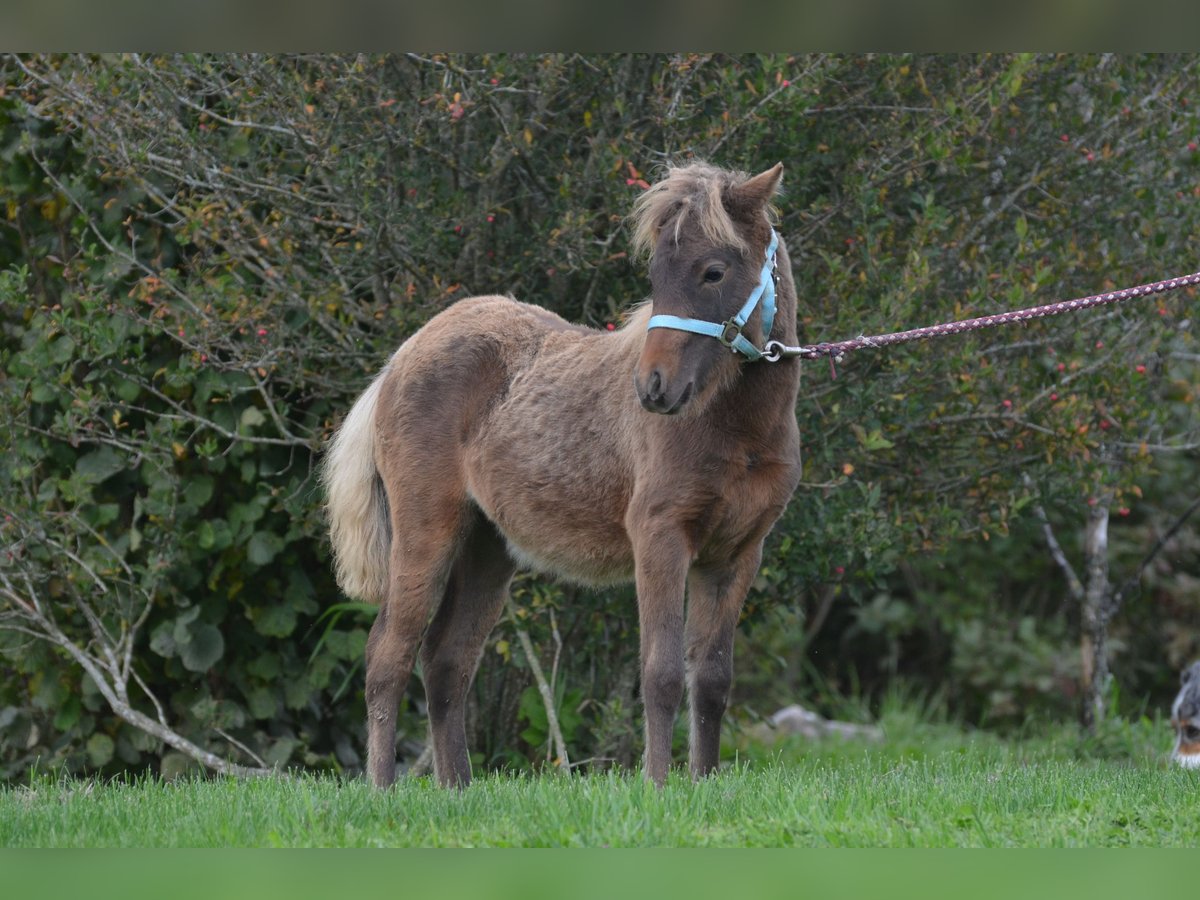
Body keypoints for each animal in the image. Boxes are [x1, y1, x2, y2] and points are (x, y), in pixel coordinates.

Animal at [324, 162, 801, 787]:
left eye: (713, 271)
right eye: (655, 275)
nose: (652, 388)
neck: (738, 429)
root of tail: (402, 356)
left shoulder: (737, 554)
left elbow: (713, 680)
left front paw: (704, 785)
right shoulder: (661, 538)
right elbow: (662, 673)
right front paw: (658, 787)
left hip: (486, 546)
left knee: (446, 660)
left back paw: (458, 790)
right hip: (426, 530)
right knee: (388, 653)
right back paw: (383, 790)